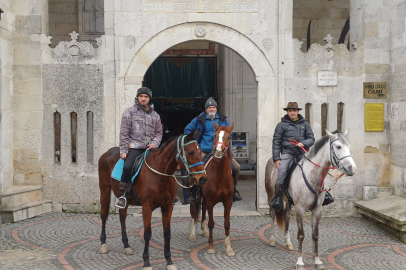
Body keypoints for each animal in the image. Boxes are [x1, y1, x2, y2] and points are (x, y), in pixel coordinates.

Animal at [97, 131, 206, 270]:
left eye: (200, 151)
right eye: (191, 152)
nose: (203, 178)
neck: (160, 173)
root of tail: (107, 152)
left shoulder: (168, 206)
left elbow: (167, 233)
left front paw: (169, 261)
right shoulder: (147, 207)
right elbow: (147, 234)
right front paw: (146, 262)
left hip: (124, 199)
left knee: (122, 218)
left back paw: (126, 246)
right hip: (104, 191)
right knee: (104, 216)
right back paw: (103, 244)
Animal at [188, 123, 235, 256]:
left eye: (229, 137)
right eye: (215, 135)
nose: (218, 151)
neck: (220, 174)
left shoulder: (228, 201)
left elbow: (227, 224)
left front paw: (228, 248)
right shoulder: (210, 201)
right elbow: (211, 223)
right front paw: (210, 247)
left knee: (203, 210)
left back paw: (204, 230)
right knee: (193, 212)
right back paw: (192, 234)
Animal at [264, 130, 356, 268]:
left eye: (349, 147)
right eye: (338, 146)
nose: (352, 168)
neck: (312, 176)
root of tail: (272, 159)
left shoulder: (317, 210)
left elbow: (315, 235)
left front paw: (317, 260)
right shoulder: (300, 209)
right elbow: (301, 235)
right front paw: (300, 261)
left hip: (288, 202)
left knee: (286, 217)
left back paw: (288, 242)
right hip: (271, 198)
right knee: (273, 214)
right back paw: (272, 240)